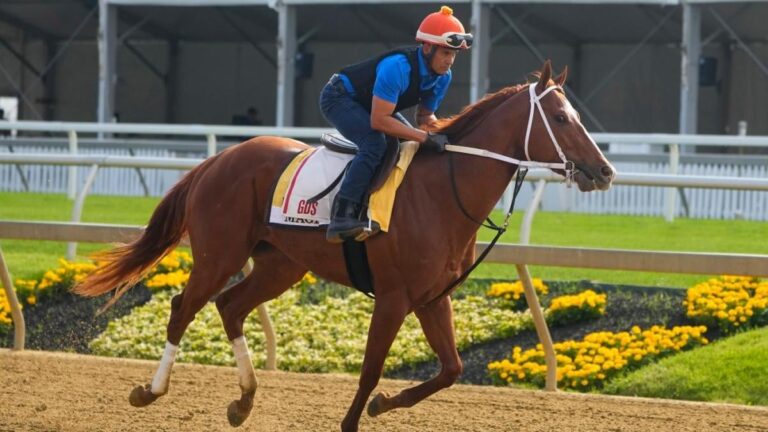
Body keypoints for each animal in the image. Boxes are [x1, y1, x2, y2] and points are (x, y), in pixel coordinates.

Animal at [75, 60, 614, 431]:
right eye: (561, 118)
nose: (605, 171)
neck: (443, 192)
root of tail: (220, 158)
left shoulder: (432, 298)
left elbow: (451, 370)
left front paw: (383, 406)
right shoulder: (394, 298)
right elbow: (371, 370)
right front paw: (359, 415)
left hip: (280, 265)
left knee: (230, 307)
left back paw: (243, 401)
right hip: (219, 252)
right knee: (184, 307)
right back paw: (150, 391)